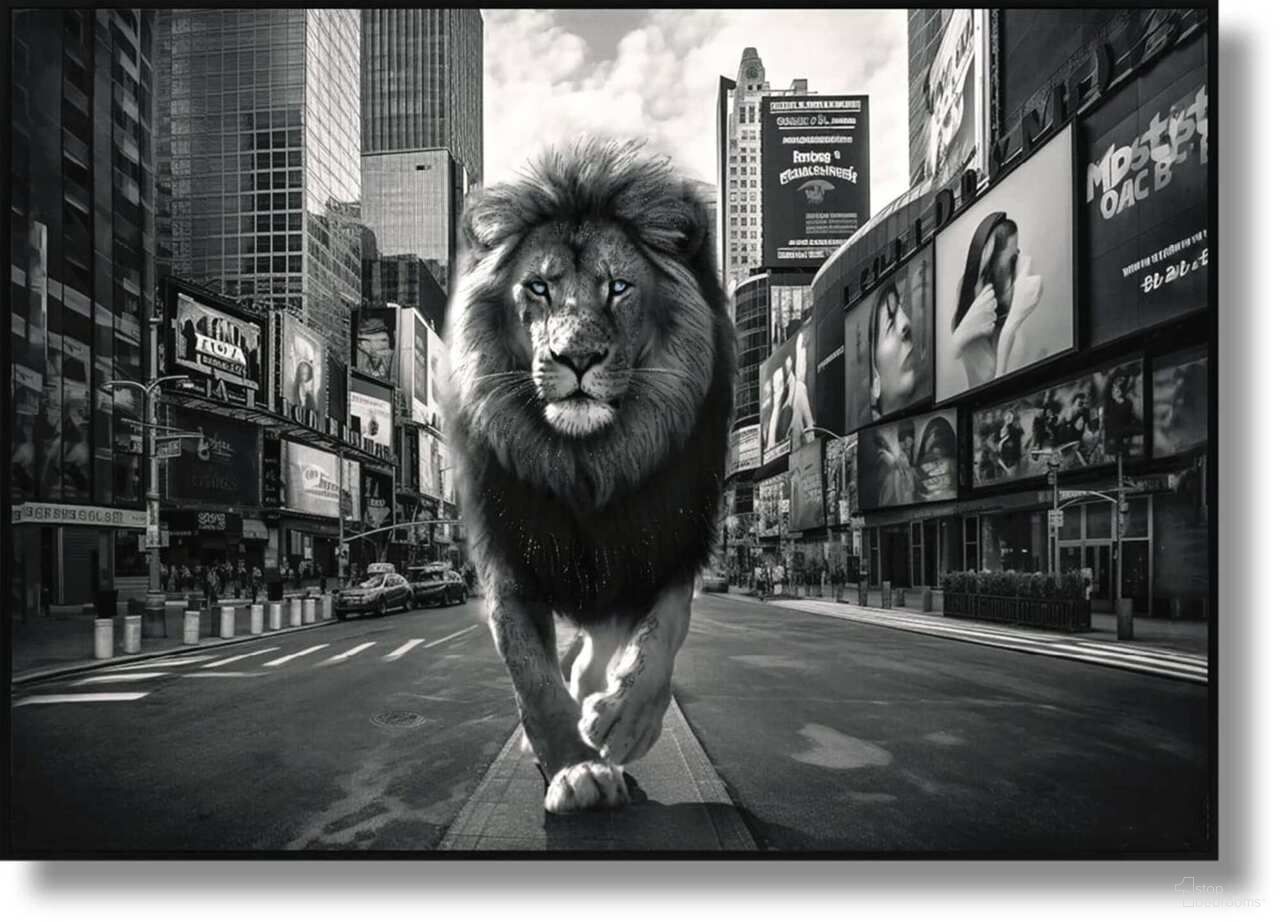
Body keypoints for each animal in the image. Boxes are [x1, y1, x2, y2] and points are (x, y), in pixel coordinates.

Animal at [442, 139, 736, 814]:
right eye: (538, 288)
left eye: (619, 287)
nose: (576, 358)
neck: (587, 464)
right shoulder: (505, 551)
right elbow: (530, 671)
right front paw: (574, 768)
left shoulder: (673, 535)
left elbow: (662, 634)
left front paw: (626, 722)